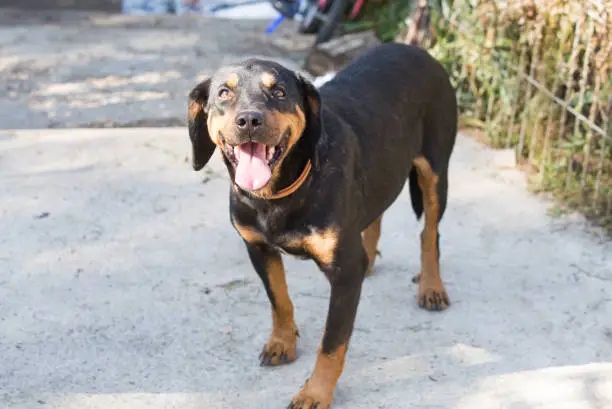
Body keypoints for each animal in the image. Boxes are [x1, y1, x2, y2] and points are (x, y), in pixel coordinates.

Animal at [189, 43, 456, 406]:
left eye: (279, 91)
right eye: (223, 93)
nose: (249, 120)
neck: (277, 195)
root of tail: (417, 50)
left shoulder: (344, 273)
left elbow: (331, 344)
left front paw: (315, 392)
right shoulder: (258, 248)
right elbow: (279, 300)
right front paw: (282, 342)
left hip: (435, 172)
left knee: (430, 233)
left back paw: (431, 286)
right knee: (375, 214)